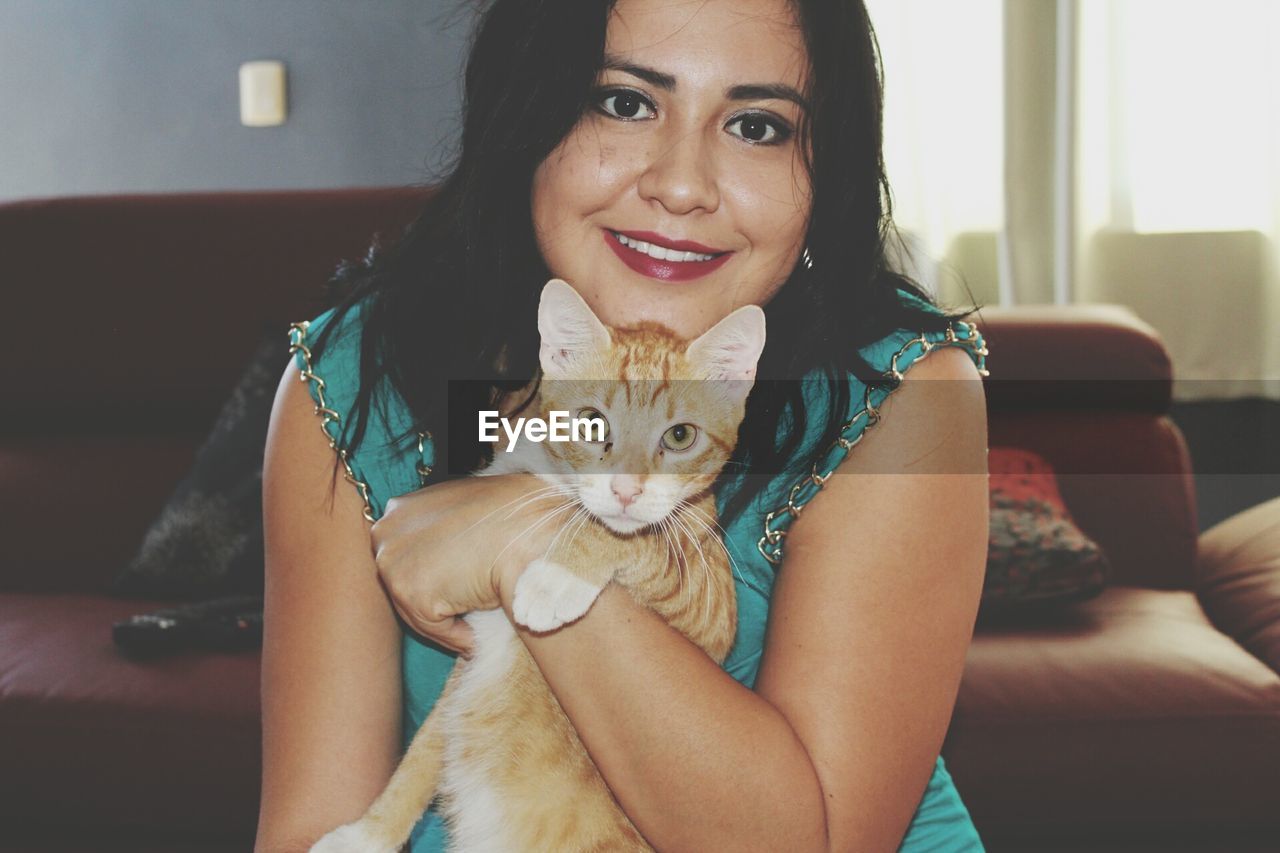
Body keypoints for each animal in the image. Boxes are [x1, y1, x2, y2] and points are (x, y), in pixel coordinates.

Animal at [311, 280, 762, 850]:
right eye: (592, 422)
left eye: (680, 436)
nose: (626, 489)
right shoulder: (470, 656)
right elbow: (428, 743)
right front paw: (367, 834)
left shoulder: (708, 607)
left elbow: (631, 538)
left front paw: (556, 578)